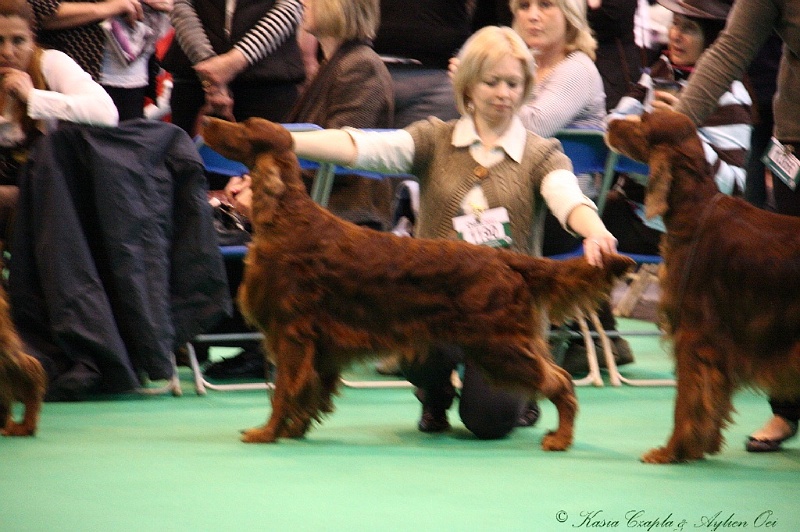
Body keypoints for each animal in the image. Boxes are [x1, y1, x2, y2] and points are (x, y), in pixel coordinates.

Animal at [203, 116, 636, 448]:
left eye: (244, 127)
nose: (205, 120)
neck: (289, 218)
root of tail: (507, 259)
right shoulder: (320, 345)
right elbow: (307, 392)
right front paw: (294, 430)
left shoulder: (292, 333)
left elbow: (283, 392)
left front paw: (266, 433)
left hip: (500, 345)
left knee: (559, 382)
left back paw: (560, 439)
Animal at [608, 110, 800, 464]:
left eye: (642, 120)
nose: (610, 121)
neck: (694, 211)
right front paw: (698, 446)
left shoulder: (694, 332)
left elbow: (687, 398)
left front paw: (671, 451)